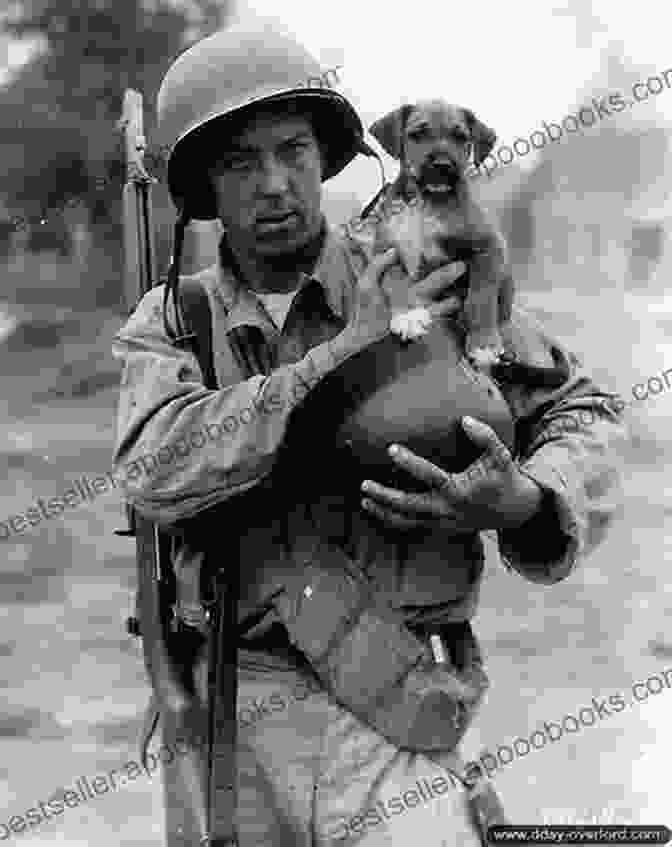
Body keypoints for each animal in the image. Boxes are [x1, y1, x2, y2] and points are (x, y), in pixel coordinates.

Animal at [364, 99, 512, 368]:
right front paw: (409, 315)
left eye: (460, 137)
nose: (443, 165)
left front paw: (483, 342)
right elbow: (395, 279)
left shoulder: (489, 246)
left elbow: (482, 294)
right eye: (417, 134)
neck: (426, 202)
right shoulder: (385, 251)